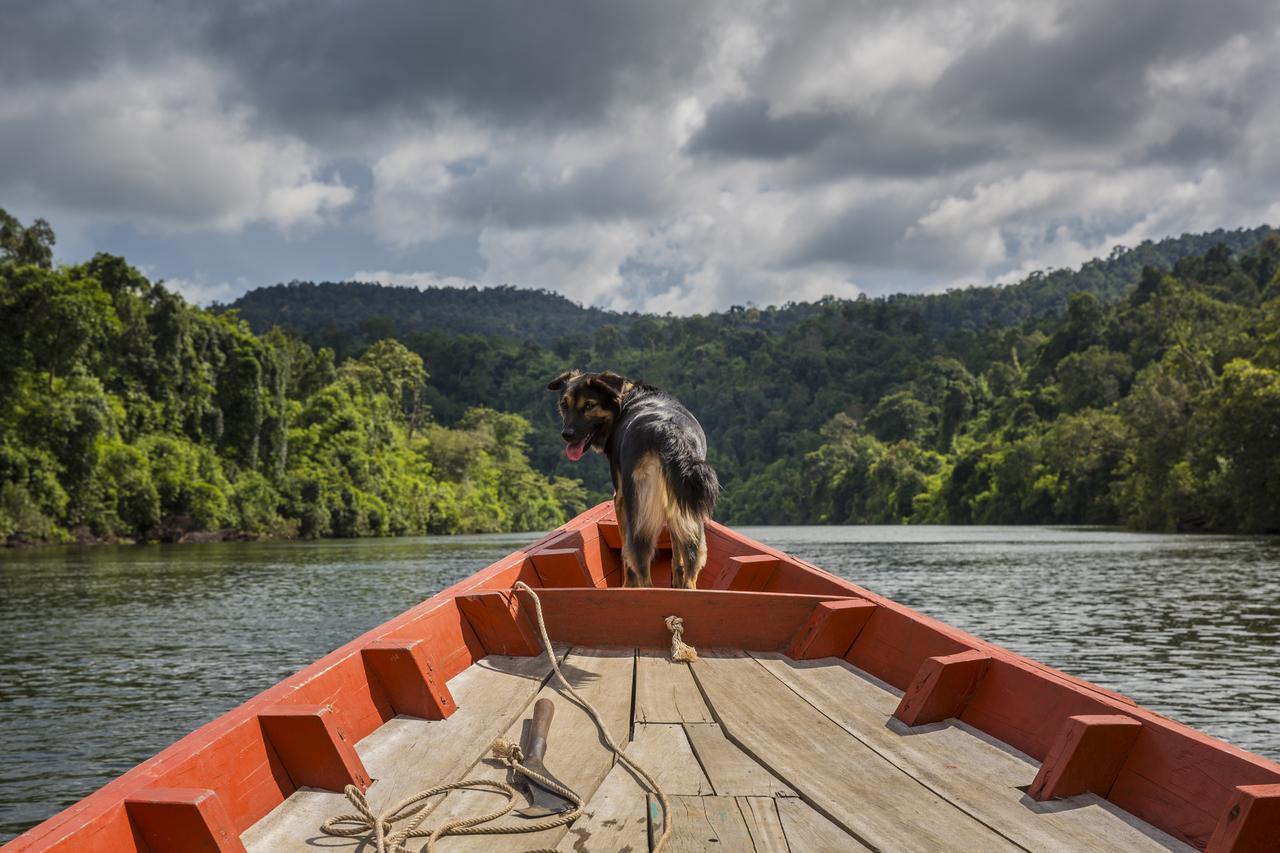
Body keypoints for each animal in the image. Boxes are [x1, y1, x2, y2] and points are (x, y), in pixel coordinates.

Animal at [545, 368, 721, 589]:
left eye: (589, 406)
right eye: (564, 405)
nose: (566, 435)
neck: (626, 398)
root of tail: (668, 432)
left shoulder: (619, 499)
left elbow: (625, 555)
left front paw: (627, 586)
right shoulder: (677, 503)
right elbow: (676, 554)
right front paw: (676, 581)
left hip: (639, 510)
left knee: (642, 566)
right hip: (689, 513)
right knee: (691, 560)